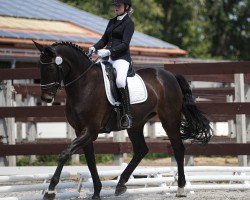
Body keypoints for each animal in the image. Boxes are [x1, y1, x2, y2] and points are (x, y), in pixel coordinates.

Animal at [32, 39, 213, 199]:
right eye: (39, 67)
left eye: (50, 68)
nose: (46, 98)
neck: (84, 85)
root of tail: (170, 75)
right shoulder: (81, 131)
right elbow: (90, 161)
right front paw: (97, 192)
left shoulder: (90, 130)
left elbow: (65, 153)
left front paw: (50, 191)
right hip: (136, 124)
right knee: (141, 150)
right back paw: (120, 184)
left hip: (169, 119)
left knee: (178, 148)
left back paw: (181, 189)